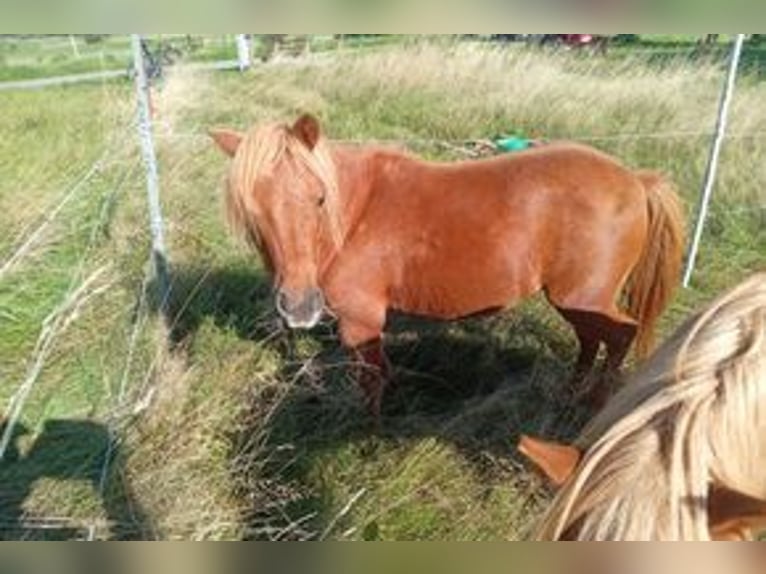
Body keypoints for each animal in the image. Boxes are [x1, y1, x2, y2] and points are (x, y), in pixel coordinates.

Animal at [209, 113, 685, 418]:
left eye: (319, 198)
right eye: (251, 210)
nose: (299, 307)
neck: (355, 215)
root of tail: (636, 181)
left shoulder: (361, 320)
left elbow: (371, 379)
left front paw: (368, 433)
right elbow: (382, 372)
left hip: (585, 298)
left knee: (619, 336)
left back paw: (593, 407)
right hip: (577, 301)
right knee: (590, 340)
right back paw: (570, 394)